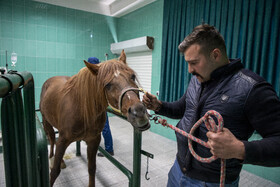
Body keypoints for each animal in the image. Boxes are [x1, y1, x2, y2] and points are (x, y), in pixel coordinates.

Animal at [39, 50, 151, 186]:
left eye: (132, 76)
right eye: (107, 85)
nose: (139, 112)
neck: (81, 109)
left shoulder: (93, 141)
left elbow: (92, 168)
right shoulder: (62, 140)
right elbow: (55, 171)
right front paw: (54, 166)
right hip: (46, 122)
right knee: (51, 139)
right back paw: (52, 159)